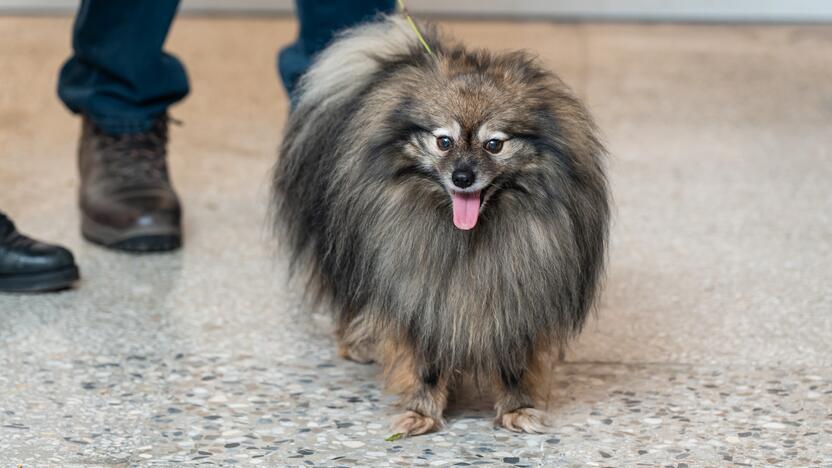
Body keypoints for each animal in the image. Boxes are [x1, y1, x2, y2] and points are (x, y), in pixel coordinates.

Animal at [276, 17, 608, 436]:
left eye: (494, 144)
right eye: (443, 142)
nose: (462, 177)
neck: (469, 238)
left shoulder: (519, 296)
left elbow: (514, 364)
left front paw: (517, 408)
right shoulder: (420, 292)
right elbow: (425, 361)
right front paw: (421, 412)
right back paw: (358, 341)